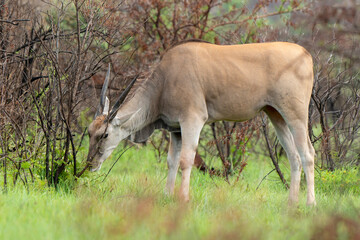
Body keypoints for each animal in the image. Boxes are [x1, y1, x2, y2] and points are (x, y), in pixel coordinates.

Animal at [86, 40, 316, 206]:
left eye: (104, 135)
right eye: (88, 132)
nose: (90, 165)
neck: (165, 80)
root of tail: (306, 54)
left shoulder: (192, 119)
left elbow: (186, 160)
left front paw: (183, 198)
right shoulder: (176, 129)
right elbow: (171, 161)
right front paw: (167, 196)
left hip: (295, 115)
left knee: (307, 154)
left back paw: (310, 204)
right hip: (276, 115)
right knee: (294, 157)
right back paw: (291, 203)